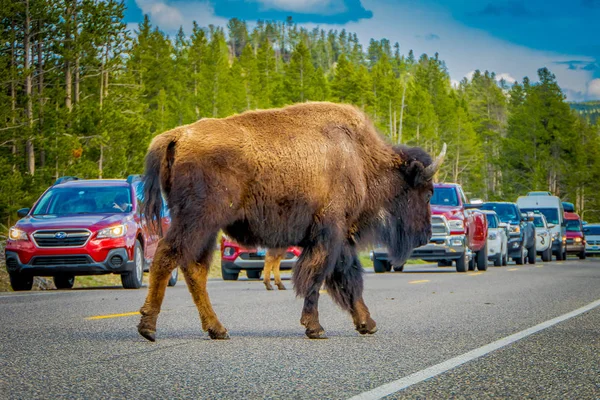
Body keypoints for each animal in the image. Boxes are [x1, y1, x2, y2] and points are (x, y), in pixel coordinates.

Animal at [137, 101, 446, 340]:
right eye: (427, 191)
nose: (426, 234)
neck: (360, 159)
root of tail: (177, 135)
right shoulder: (329, 234)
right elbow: (318, 277)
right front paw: (316, 328)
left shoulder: (338, 238)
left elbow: (348, 278)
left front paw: (366, 324)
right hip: (198, 220)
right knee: (167, 256)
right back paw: (148, 327)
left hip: (206, 228)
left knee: (194, 270)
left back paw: (217, 329)